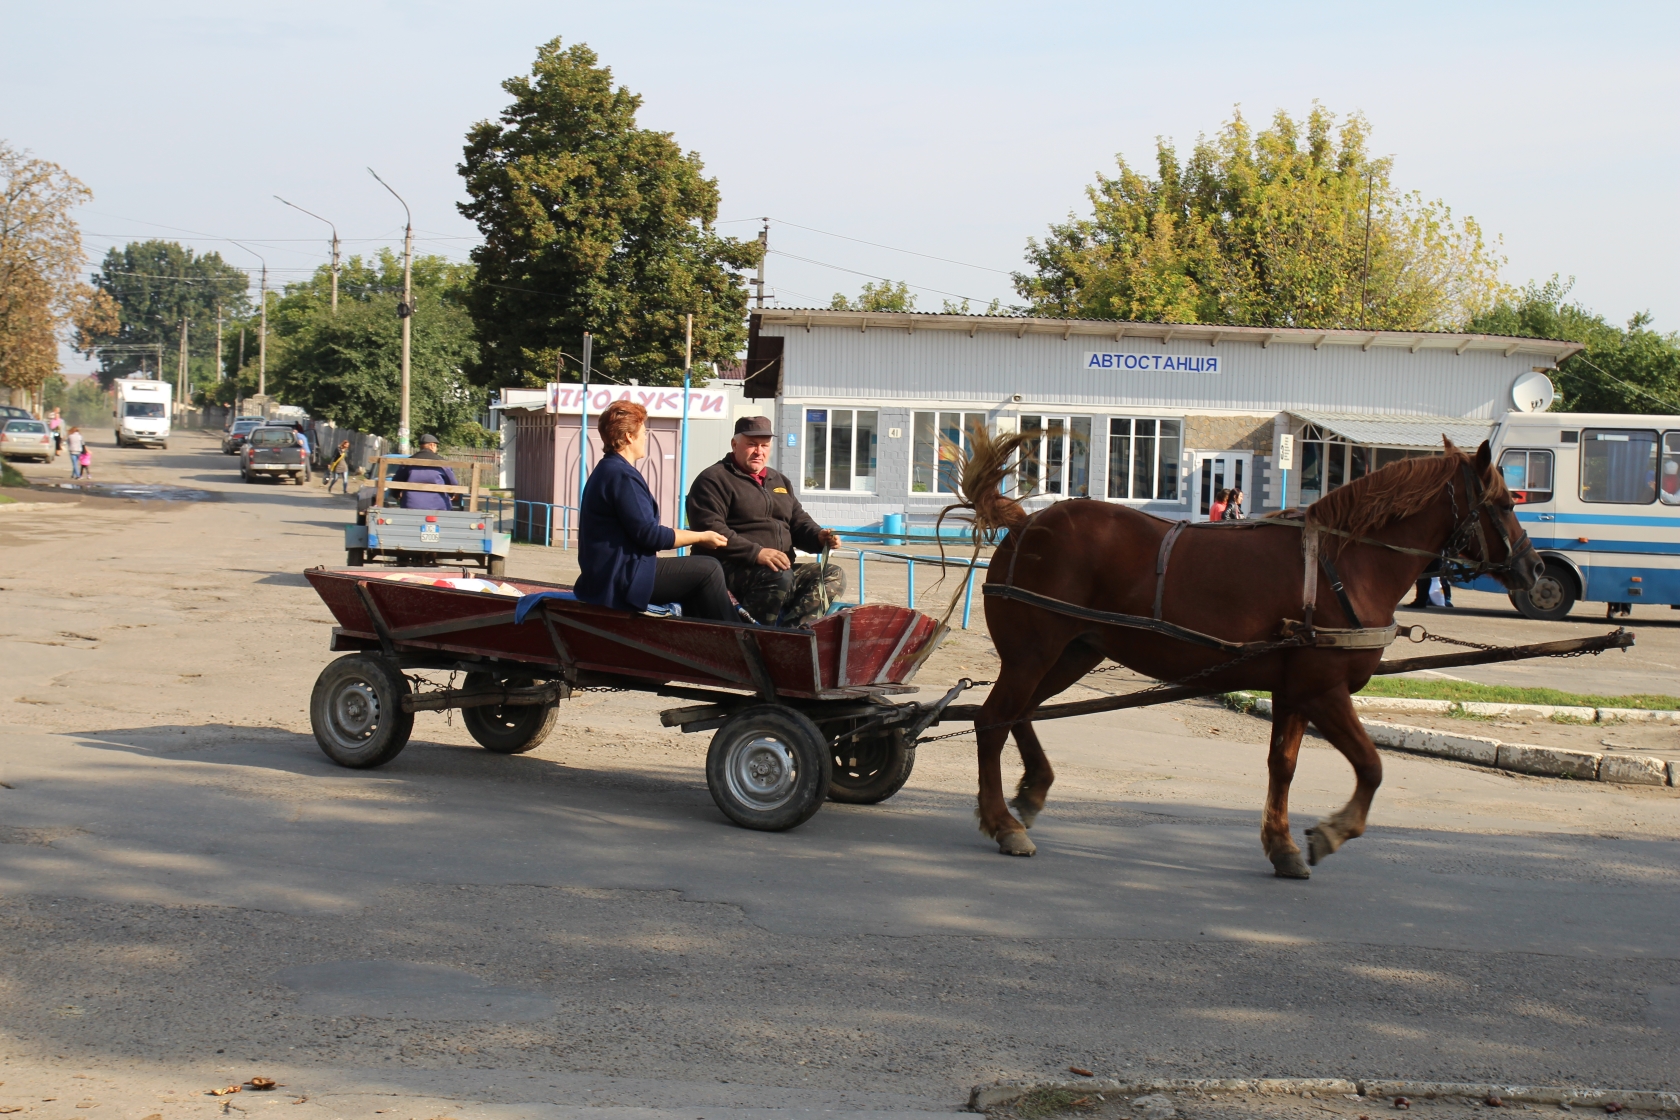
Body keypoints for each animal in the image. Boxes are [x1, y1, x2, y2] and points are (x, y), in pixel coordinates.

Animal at [954, 433, 1538, 879]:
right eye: (1505, 505)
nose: (1533, 569)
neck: (1345, 564)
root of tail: (1024, 523)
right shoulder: (1324, 690)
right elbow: (1371, 766)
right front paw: (1332, 831)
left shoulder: (1294, 691)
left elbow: (1283, 765)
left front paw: (1282, 846)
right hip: (1034, 653)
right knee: (991, 720)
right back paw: (1003, 823)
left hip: (1072, 654)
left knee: (1018, 714)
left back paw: (1031, 792)